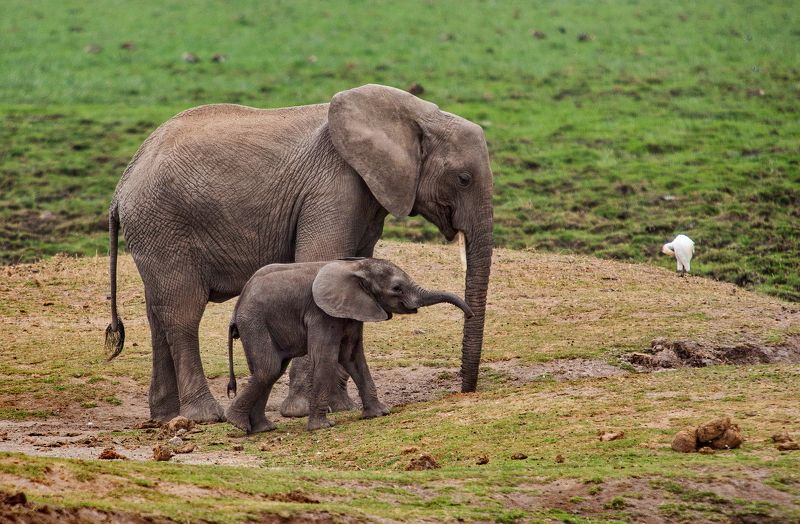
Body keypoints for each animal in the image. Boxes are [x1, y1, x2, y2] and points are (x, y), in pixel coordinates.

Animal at [224, 258, 472, 433]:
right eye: (397, 288)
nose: (469, 315)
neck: (356, 266)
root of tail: (237, 307)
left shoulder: (353, 310)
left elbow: (353, 356)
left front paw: (380, 413)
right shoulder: (321, 313)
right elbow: (325, 358)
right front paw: (322, 427)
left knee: (270, 370)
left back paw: (262, 429)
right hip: (254, 321)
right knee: (269, 368)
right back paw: (235, 422)